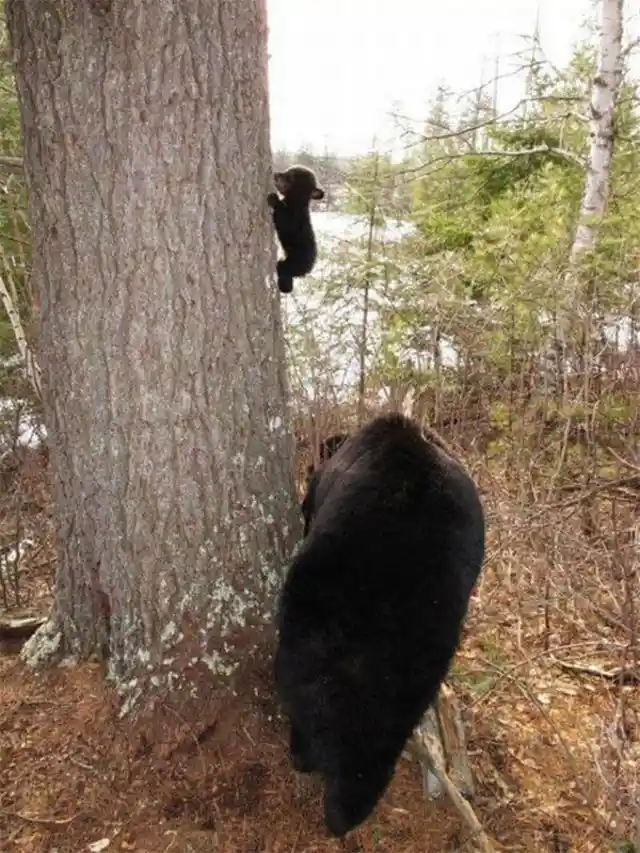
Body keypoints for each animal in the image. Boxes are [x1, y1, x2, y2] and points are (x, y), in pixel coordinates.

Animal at [266, 165, 324, 294]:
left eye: (291, 177)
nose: (275, 174)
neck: (294, 202)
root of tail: (309, 268)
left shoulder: (294, 219)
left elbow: (284, 220)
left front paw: (273, 198)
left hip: (294, 262)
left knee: (283, 270)